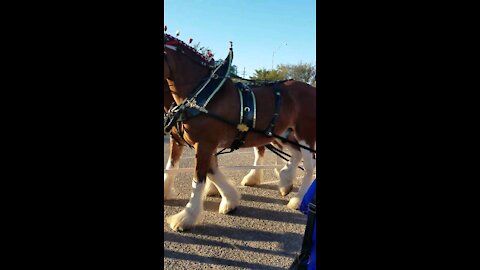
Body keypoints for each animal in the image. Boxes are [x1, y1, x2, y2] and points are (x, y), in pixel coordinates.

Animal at [163, 34, 316, 231]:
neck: (202, 94)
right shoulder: (191, 141)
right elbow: (200, 170)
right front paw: (230, 200)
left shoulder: (205, 143)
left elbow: (199, 177)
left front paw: (186, 217)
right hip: (284, 134)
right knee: (296, 155)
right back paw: (285, 181)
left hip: (305, 134)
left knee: (310, 166)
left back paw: (298, 200)